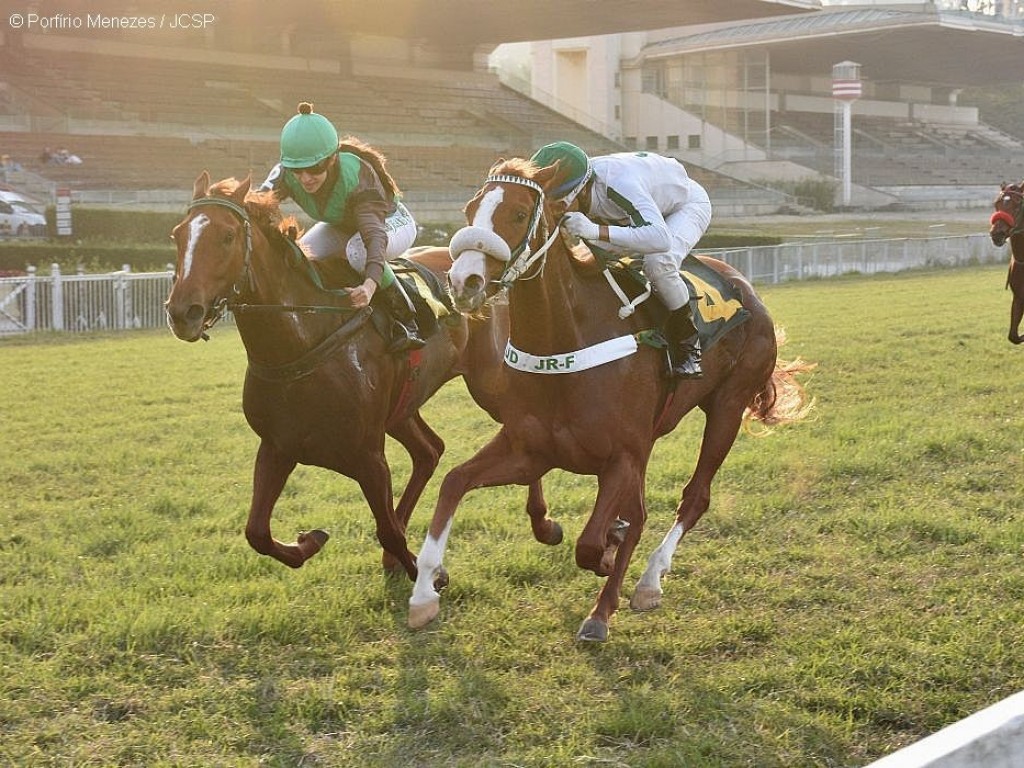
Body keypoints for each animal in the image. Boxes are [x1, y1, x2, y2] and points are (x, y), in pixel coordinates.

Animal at [164, 173, 561, 581]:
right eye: (177, 235)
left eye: (227, 236)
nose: (183, 312)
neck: (302, 340)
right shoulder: (277, 446)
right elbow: (256, 532)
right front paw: (309, 542)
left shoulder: (368, 455)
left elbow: (387, 530)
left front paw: (426, 573)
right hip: (403, 406)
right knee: (429, 450)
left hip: (490, 383)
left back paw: (543, 524)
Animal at [407, 157, 815, 643]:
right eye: (470, 209)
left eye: (520, 214)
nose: (462, 280)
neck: (567, 343)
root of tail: (749, 290)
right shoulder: (530, 449)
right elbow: (454, 482)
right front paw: (423, 594)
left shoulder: (622, 454)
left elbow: (591, 543)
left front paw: (601, 605)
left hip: (727, 407)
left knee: (694, 497)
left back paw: (649, 581)